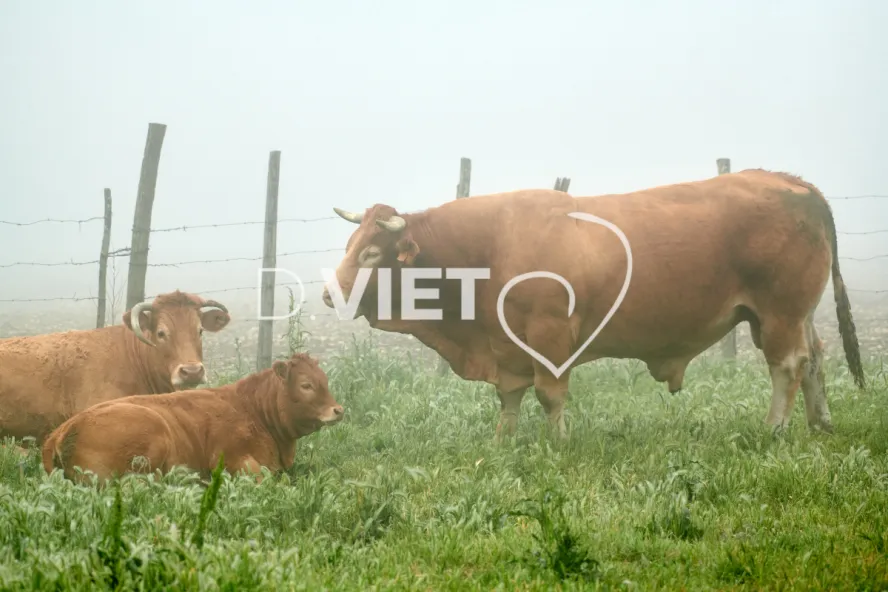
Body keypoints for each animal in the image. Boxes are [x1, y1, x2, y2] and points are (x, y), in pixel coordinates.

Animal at [321, 169, 865, 440]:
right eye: (350, 244)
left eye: (371, 252)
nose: (329, 294)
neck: (489, 245)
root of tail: (793, 183)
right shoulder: (506, 344)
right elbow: (510, 398)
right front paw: (503, 443)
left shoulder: (549, 337)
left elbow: (549, 395)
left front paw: (559, 445)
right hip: (793, 314)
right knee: (815, 358)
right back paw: (820, 423)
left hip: (778, 314)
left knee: (788, 366)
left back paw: (774, 429)